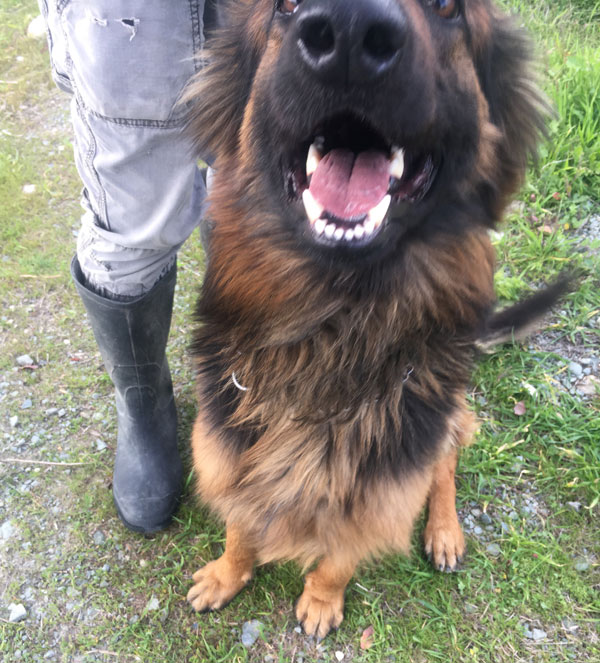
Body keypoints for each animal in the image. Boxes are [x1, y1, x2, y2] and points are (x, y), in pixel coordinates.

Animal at [184, 0, 568, 640]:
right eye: (283, 7)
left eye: (448, 8)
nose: (347, 34)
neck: (333, 331)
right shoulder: (227, 444)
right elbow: (240, 522)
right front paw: (227, 573)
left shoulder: (383, 485)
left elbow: (342, 553)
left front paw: (321, 599)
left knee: (447, 461)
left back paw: (444, 531)